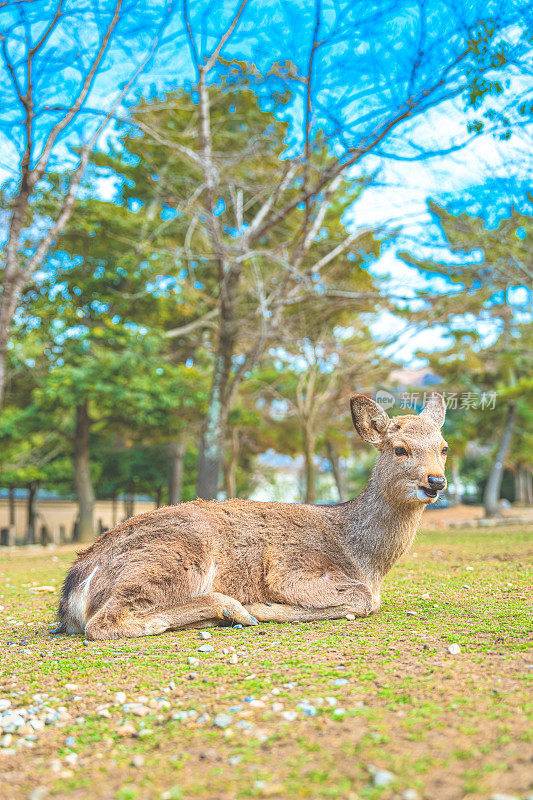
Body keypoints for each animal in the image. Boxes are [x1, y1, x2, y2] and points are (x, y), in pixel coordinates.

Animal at [57, 390, 448, 640]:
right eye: (399, 449)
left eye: (444, 448)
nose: (436, 481)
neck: (365, 560)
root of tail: (74, 587)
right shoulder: (289, 569)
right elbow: (364, 600)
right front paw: (265, 607)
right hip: (174, 553)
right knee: (106, 621)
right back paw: (234, 610)